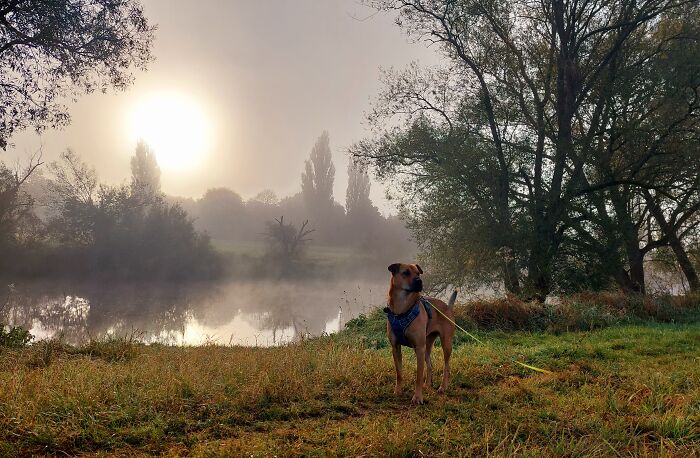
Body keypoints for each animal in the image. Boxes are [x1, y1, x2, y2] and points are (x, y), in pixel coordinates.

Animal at [386, 262, 456, 402]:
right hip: (427, 345)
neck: (402, 308)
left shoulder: (419, 348)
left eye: (418, 273)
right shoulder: (395, 347)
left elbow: (418, 375)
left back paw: (442, 387)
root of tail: (448, 307)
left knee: (446, 367)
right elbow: (399, 373)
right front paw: (398, 391)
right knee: (429, 365)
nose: (419, 281)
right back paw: (427, 385)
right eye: (406, 273)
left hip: (445, 344)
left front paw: (418, 397)